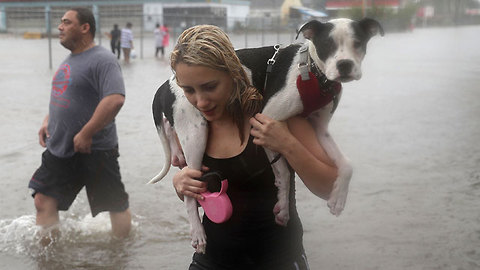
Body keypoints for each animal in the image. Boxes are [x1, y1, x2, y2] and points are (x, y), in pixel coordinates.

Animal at [149, 17, 382, 252]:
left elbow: (347, 164)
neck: (312, 73)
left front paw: (337, 199)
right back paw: (198, 232)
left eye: (358, 43)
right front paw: (283, 206)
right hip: (196, 134)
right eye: (327, 45)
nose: (345, 65)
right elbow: (284, 173)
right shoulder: (266, 120)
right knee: (190, 193)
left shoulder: (320, 130)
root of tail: (167, 83)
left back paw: (176, 153)